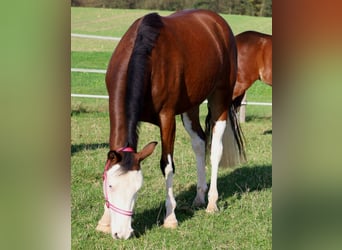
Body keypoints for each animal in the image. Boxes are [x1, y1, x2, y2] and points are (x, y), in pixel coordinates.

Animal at [96, 10, 246, 240]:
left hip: (220, 97)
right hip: (190, 105)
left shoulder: (166, 117)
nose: (121, 234)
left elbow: (167, 166)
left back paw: (211, 202)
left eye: (138, 189)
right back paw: (199, 197)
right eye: (110, 185)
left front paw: (170, 218)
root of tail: (216, 21)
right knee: (199, 143)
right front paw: (104, 221)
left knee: (215, 150)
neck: (146, 55)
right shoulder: (114, 109)